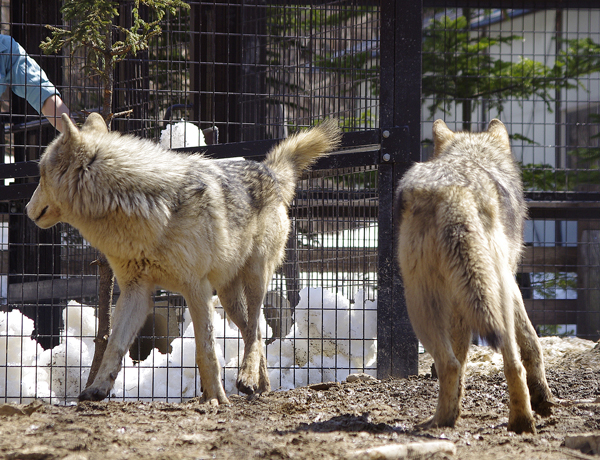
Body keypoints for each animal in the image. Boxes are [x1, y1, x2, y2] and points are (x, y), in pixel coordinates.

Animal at [27, 113, 342, 404]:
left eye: (40, 174)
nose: (28, 210)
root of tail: (268, 169)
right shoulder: (136, 292)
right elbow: (115, 345)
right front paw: (96, 389)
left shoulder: (196, 287)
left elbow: (206, 350)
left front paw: (216, 399)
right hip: (229, 297)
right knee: (255, 333)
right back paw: (260, 386)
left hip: (255, 277)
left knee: (254, 330)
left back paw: (246, 379)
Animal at [394, 119, 552, 434]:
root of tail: (453, 191)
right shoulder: (511, 283)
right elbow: (531, 341)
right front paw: (542, 397)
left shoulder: (467, 301)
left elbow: (466, 357)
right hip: (472, 296)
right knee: (491, 363)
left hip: (421, 304)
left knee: (458, 364)